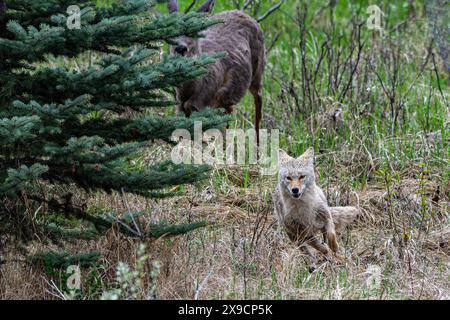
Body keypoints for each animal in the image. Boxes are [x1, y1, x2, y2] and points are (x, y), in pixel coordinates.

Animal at [167, 0, 266, 144]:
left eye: (194, 32)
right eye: (170, 34)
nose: (181, 48)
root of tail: (242, 13)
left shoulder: (203, 106)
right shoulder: (180, 108)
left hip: (258, 70)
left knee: (258, 101)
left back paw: (258, 145)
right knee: (229, 115)